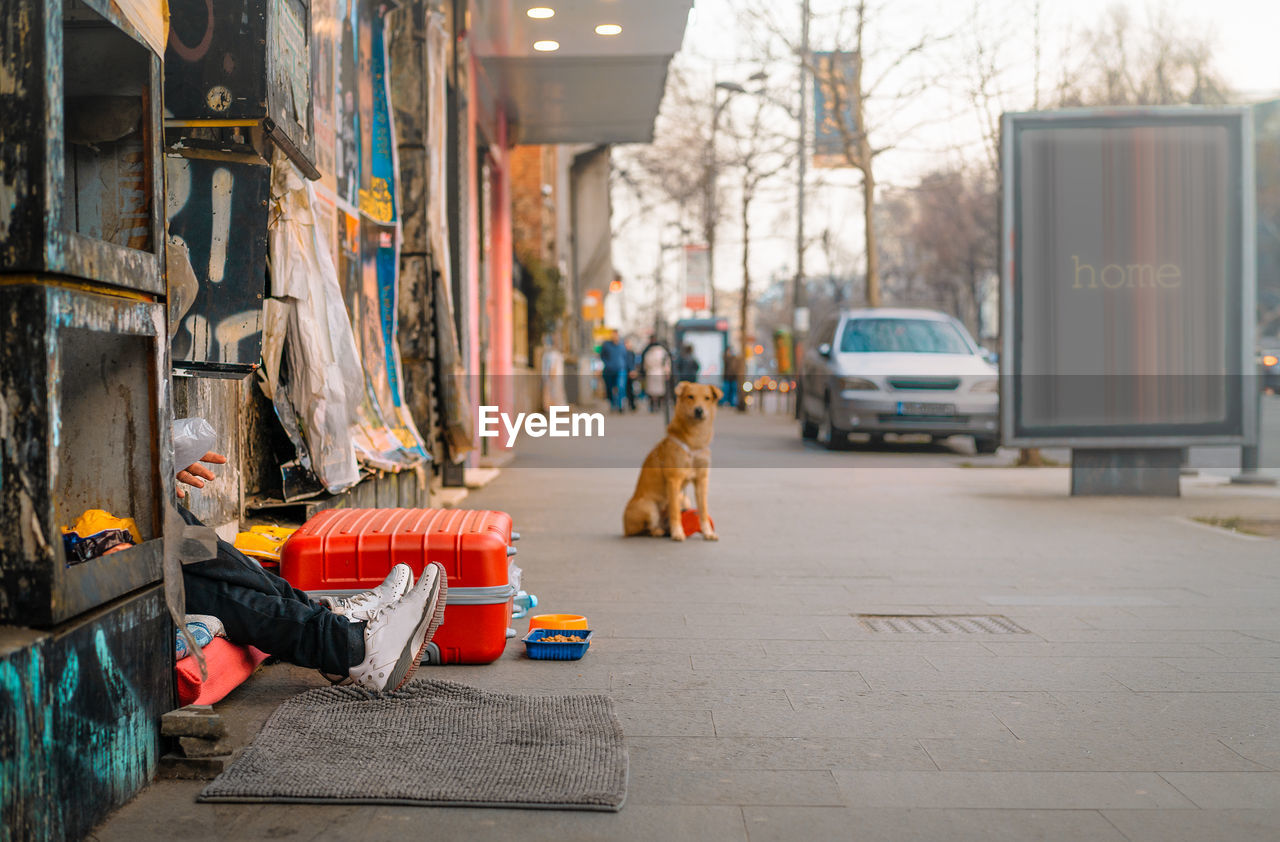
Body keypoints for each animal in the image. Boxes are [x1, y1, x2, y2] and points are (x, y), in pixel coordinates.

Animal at [622, 378, 721, 537]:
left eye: (707, 398)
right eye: (690, 396)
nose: (699, 410)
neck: (694, 442)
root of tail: (624, 527)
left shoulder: (701, 480)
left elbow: (703, 510)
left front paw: (707, 532)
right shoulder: (674, 479)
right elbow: (675, 512)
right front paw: (677, 533)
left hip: (684, 499)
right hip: (649, 506)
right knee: (646, 529)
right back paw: (658, 531)